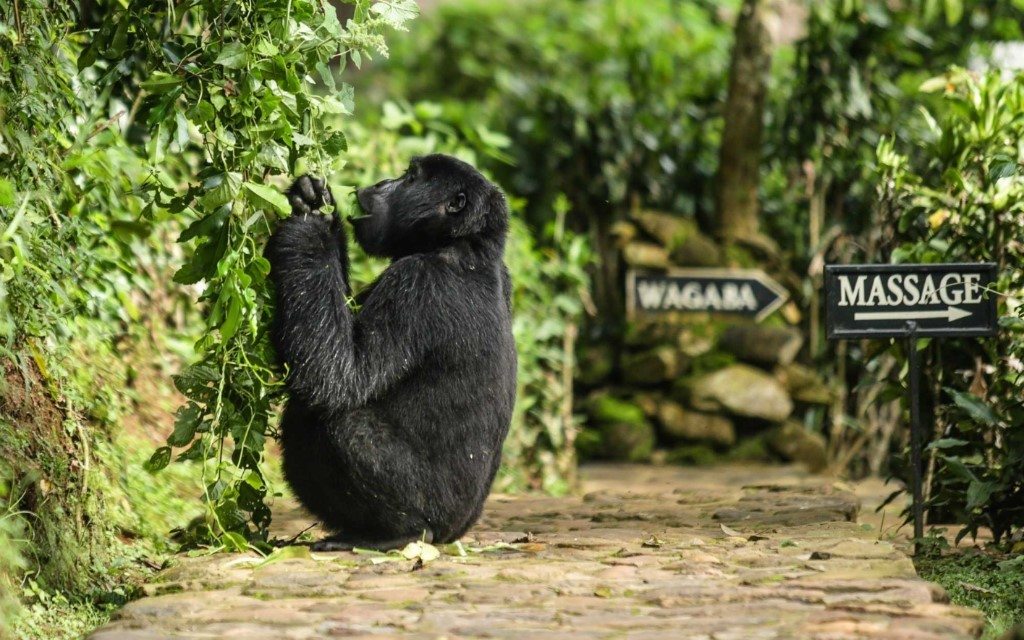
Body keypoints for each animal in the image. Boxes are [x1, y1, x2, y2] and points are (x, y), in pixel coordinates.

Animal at [266, 154, 516, 548]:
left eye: (411, 177)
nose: (382, 183)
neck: (463, 243)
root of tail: (455, 532)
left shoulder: (416, 285)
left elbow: (339, 374)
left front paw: (310, 227)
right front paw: (313, 199)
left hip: (433, 509)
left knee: (339, 424)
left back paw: (397, 533)